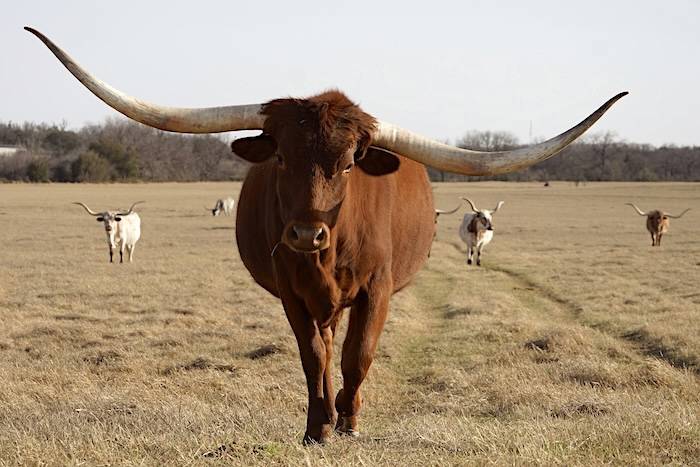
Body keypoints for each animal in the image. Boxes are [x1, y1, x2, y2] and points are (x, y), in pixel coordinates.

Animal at [26, 26, 626, 444]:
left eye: (349, 163)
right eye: (282, 156)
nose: (305, 233)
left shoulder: (377, 290)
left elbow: (359, 356)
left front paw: (349, 423)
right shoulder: (292, 293)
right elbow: (314, 356)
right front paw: (317, 427)